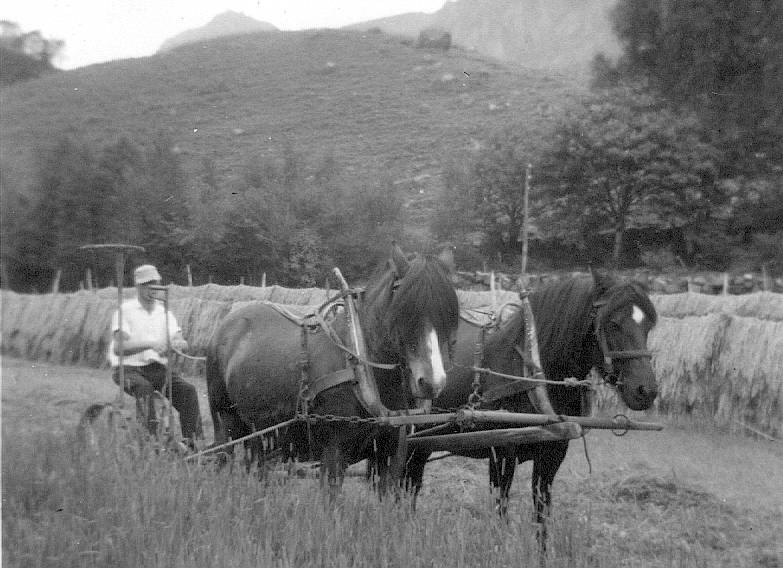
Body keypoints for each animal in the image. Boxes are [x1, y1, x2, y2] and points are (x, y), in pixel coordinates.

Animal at [208, 246, 460, 494]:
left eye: (448, 315)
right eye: (405, 310)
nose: (432, 383)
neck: (360, 366)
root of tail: (226, 323)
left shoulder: (390, 451)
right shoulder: (333, 451)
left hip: (260, 432)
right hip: (225, 422)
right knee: (224, 459)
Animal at [404, 272, 656, 544]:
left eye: (648, 326)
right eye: (612, 323)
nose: (646, 390)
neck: (532, 371)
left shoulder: (553, 452)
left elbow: (541, 513)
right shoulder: (502, 450)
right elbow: (501, 505)